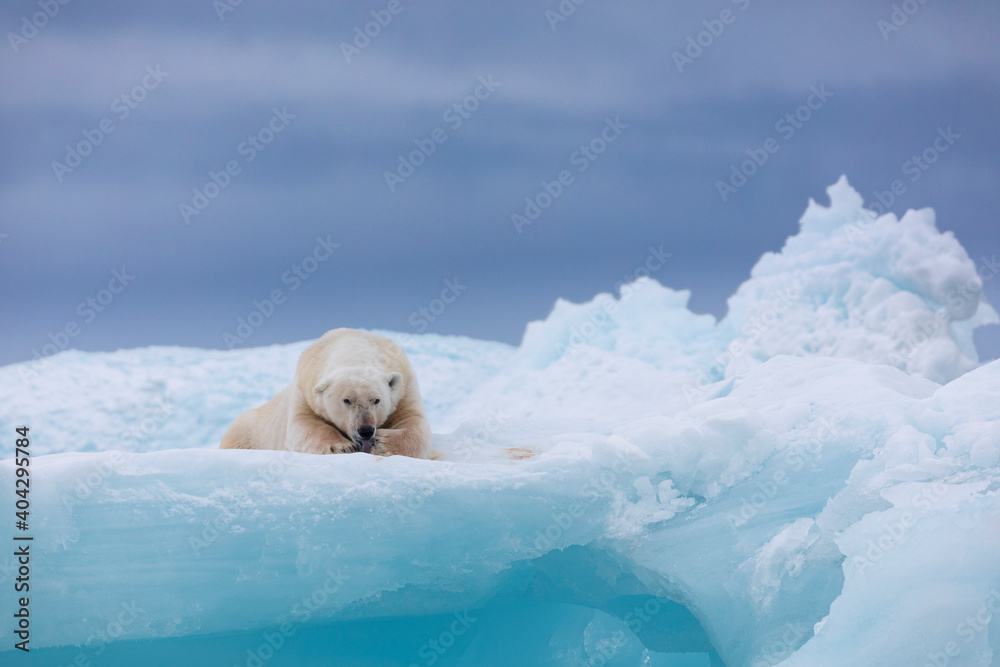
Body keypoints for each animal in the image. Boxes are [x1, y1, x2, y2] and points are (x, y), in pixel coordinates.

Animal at [220, 328, 433, 458]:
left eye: (376, 400)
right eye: (346, 400)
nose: (365, 430)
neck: (351, 346)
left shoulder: (405, 388)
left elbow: (414, 421)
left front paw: (383, 443)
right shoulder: (305, 390)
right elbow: (303, 425)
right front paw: (342, 446)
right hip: (245, 431)